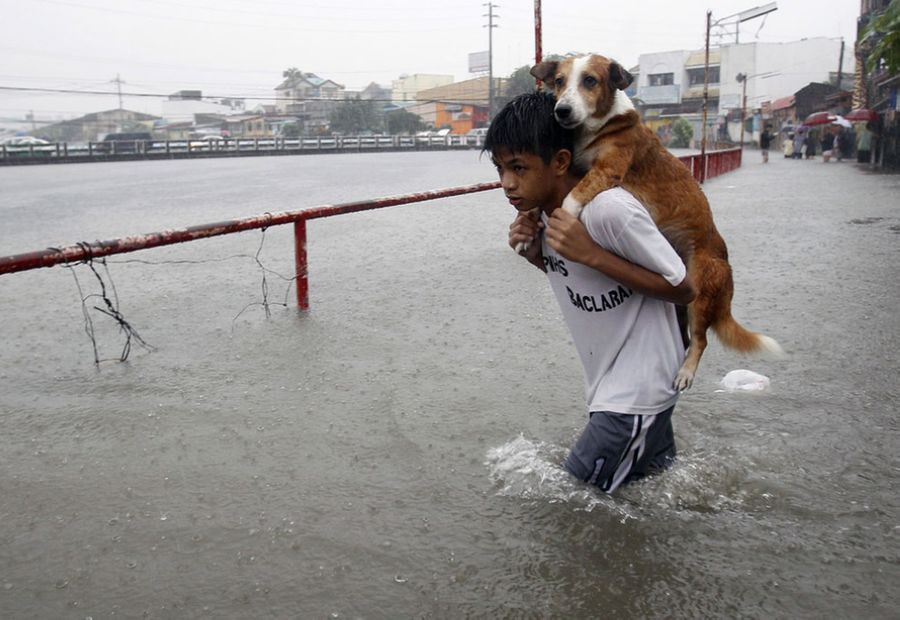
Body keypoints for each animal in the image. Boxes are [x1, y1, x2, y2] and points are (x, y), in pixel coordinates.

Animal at [536, 54, 780, 392]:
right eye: (559, 81)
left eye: (590, 81)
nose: (562, 110)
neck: (599, 127)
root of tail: (727, 270)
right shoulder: (577, 164)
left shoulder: (607, 170)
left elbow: (573, 196)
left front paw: (564, 218)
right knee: (688, 336)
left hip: (699, 293)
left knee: (701, 340)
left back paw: (686, 372)